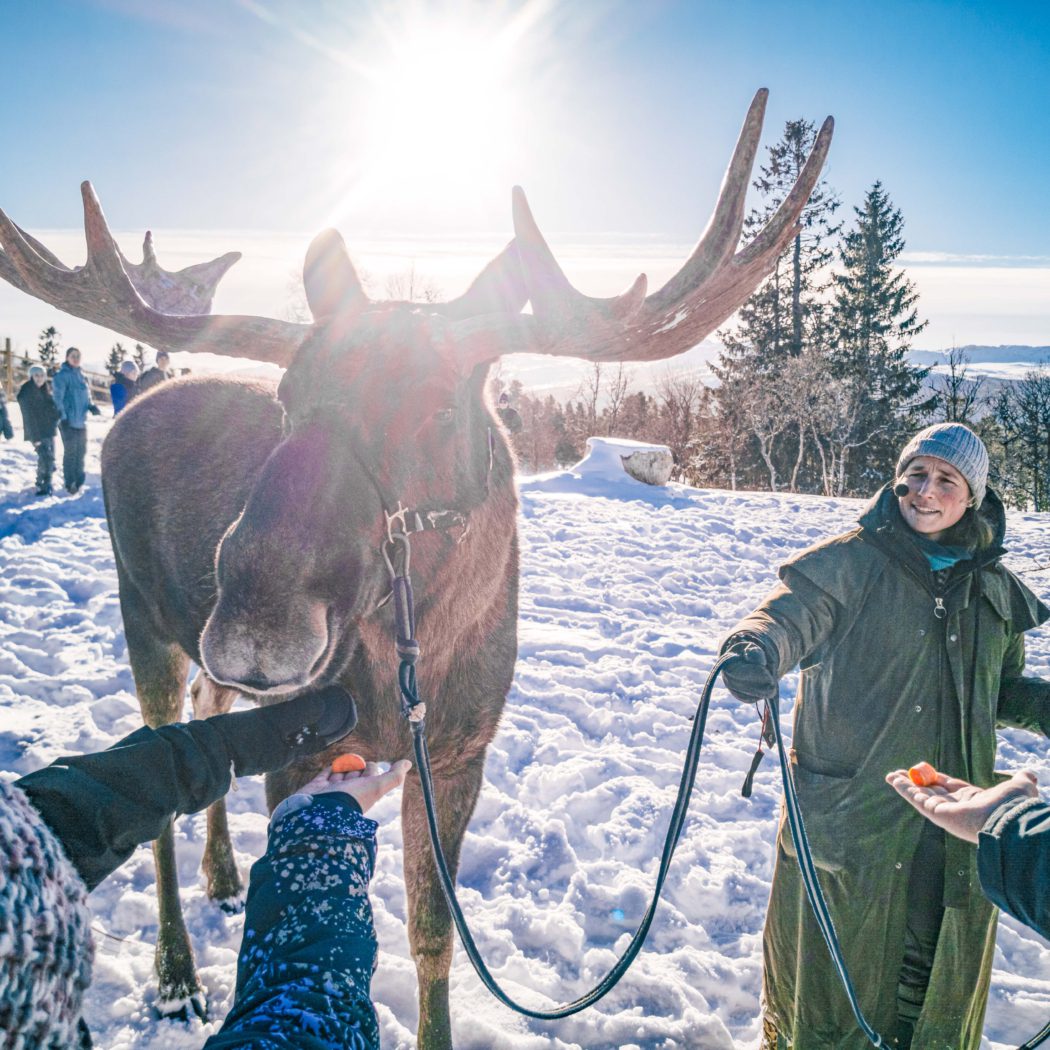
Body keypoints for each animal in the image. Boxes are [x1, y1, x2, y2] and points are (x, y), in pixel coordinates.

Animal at [2, 92, 835, 1050]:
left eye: (438, 407)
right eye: (288, 400)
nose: (253, 630)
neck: (419, 660)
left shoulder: (461, 751)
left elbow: (434, 937)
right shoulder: (306, 744)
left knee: (206, 728)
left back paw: (222, 871)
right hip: (144, 613)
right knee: (160, 774)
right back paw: (176, 972)